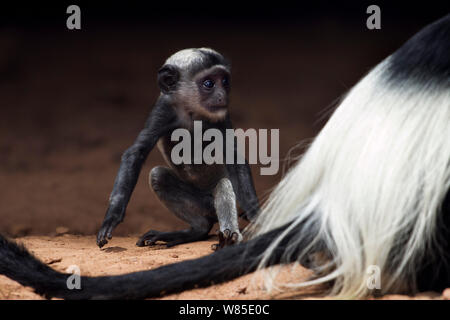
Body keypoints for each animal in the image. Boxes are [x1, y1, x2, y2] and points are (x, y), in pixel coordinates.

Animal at [96, 47, 260, 249]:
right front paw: (112, 217)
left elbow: (234, 157)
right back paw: (196, 230)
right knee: (159, 176)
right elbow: (136, 152)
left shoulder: (221, 115)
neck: (191, 112)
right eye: (209, 83)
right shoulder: (164, 108)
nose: (223, 96)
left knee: (223, 185)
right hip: (202, 204)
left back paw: (228, 239)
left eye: (225, 81)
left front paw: (255, 211)